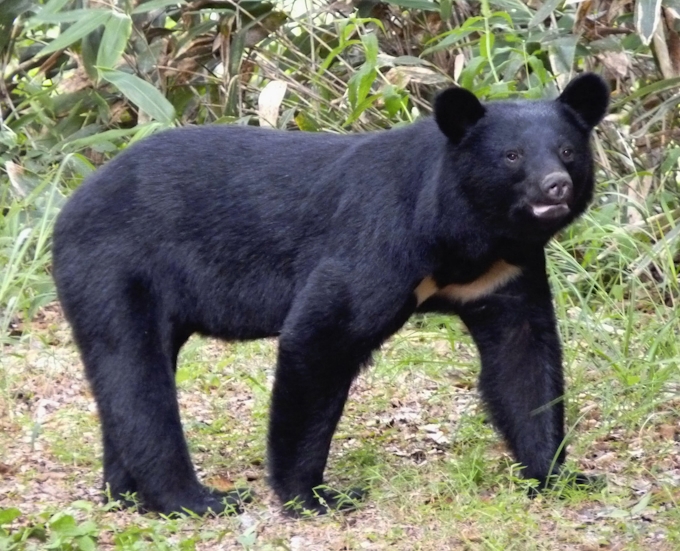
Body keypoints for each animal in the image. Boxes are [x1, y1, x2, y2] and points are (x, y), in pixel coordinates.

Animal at [50, 72, 608, 516]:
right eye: (512, 157)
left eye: (567, 152)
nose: (555, 186)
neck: (473, 234)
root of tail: (71, 203)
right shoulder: (380, 242)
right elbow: (320, 338)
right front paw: (313, 496)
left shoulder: (506, 272)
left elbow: (523, 360)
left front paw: (560, 476)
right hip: (114, 268)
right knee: (135, 376)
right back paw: (195, 499)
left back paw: (127, 494)